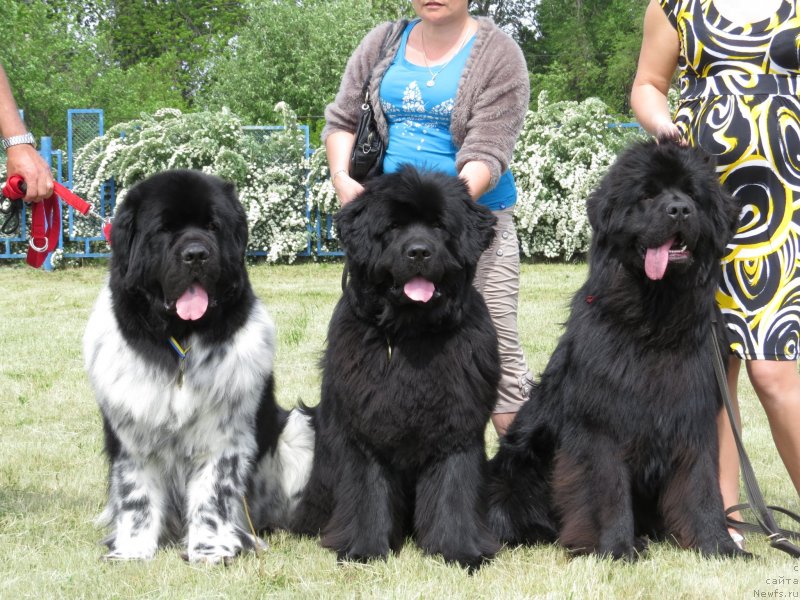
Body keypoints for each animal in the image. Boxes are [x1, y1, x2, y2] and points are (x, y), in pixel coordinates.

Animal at [83, 170, 314, 564]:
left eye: (212, 226)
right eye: (164, 229)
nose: (196, 254)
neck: (180, 343)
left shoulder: (224, 435)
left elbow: (213, 495)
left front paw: (210, 549)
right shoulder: (132, 429)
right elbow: (135, 494)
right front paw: (132, 550)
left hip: (299, 429)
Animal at [294, 166, 504, 568]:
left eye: (439, 226)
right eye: (392, 227)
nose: (418, 251)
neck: (411, 335)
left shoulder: (458, 426)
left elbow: (454, 490)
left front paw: (460, 552)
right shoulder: (365, 429)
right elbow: (368, 490)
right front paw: (364, 550)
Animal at [488, 141, 752, 556]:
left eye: (693, 195)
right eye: (647, 196)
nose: (679, 209)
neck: (653, 322)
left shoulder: (693, 416)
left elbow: (701, 486)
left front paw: (718, 545)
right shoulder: (599, 425)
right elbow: (606, 489)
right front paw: (616, 548)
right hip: (520, 462)